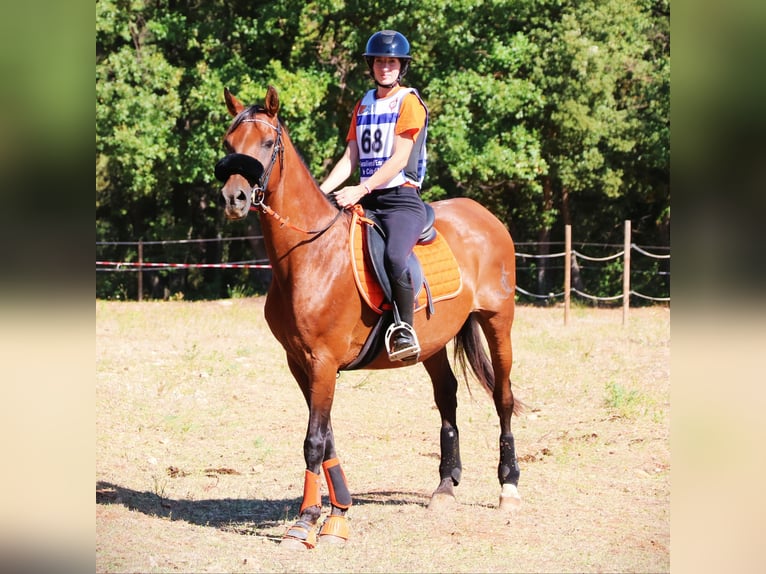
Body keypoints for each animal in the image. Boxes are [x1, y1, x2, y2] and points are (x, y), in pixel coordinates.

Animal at [219, 84, 524, 548]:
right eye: (229, 143)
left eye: (269, 143)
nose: (234, 198)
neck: (310, 253)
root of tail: (485, 216)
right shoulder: (300, 364)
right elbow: (326, 438)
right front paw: (338, 512)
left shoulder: (323, 361)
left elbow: (314, 440)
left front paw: (307, 520)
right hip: (432, 342)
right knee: (447, 397)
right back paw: (445, 486)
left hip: (498, 321)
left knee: (503, 397)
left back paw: (509, 486)